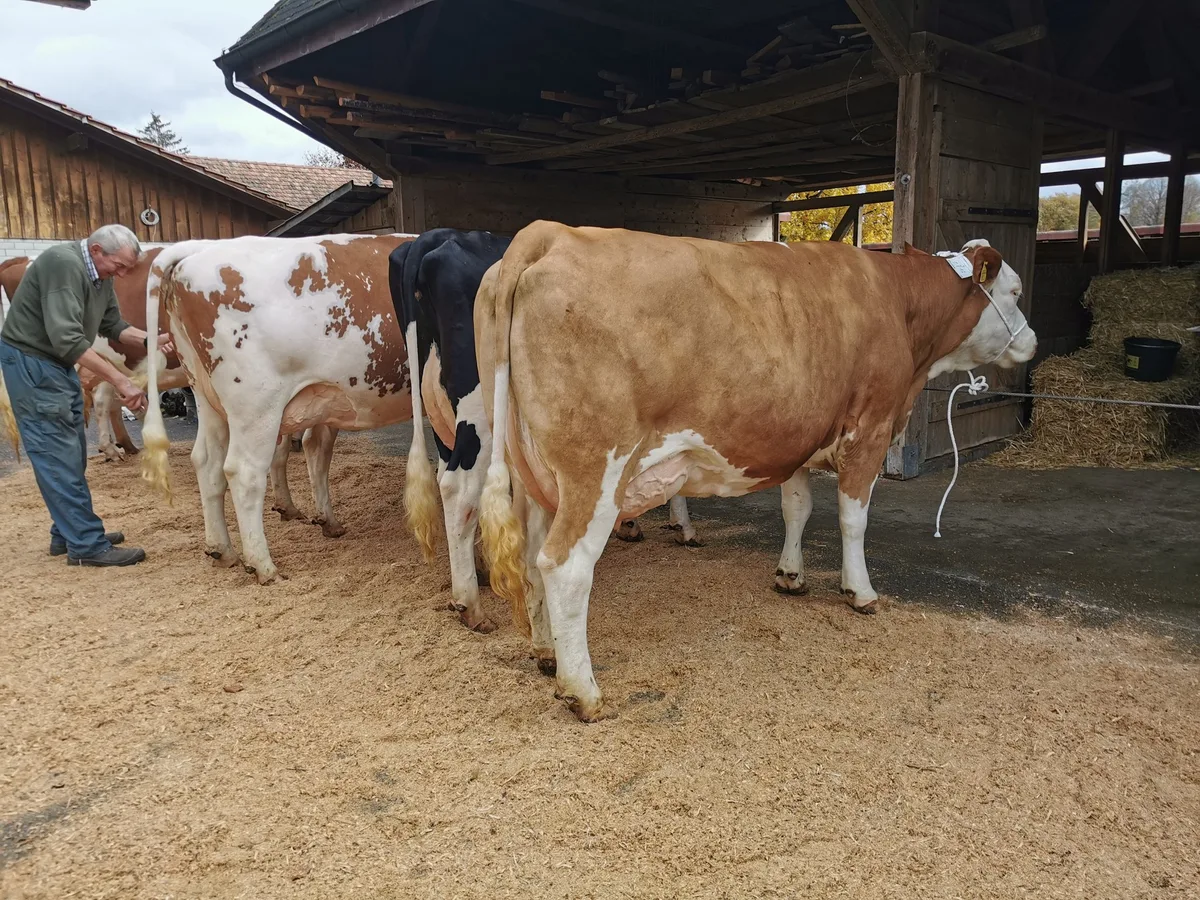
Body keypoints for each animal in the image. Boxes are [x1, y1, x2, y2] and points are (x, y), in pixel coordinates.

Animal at [140, 234, 417, 585]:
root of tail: (198, 249)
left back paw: (221, 550)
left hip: (207, 397)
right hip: (256, 404)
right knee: (243, 472)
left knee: (206, 463)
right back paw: (264, 566)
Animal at [475, 223, 1037, 721]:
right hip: (595, 470)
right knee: (565, 566)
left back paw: (546, 653)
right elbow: (853, 519)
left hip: (532, 473)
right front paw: (860, 592)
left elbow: (797, 509)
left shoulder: (798, 436)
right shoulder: (871, 429)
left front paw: (790, 575)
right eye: (1013, 292)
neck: (896, 301)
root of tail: (552, 232)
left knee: (530, 559)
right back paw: (583, 691)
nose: (1031, 340)